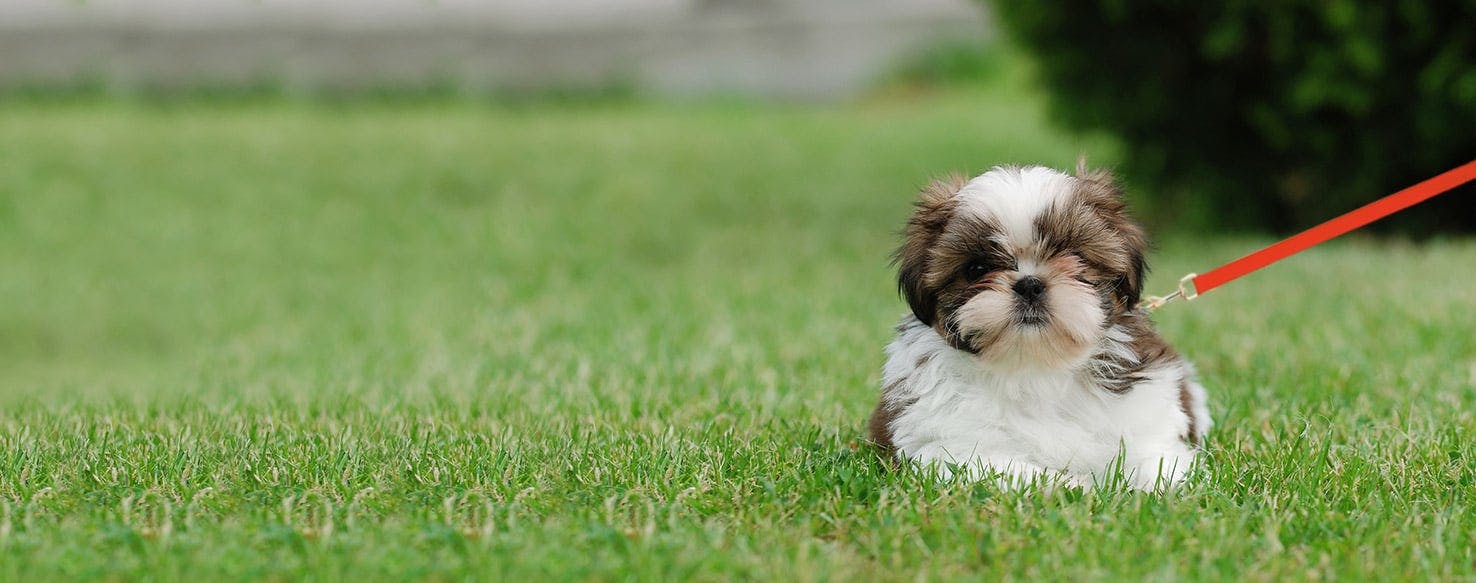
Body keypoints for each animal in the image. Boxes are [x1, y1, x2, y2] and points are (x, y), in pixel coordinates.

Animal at [867, 162, 1204, 490]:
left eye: (1075, 257)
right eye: (977, 269)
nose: (1029, 284)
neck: (1036, 368)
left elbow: (1155, 459)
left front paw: (1153, 484)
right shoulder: (950, 448)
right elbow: (1011, 472)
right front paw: (1076, 485)